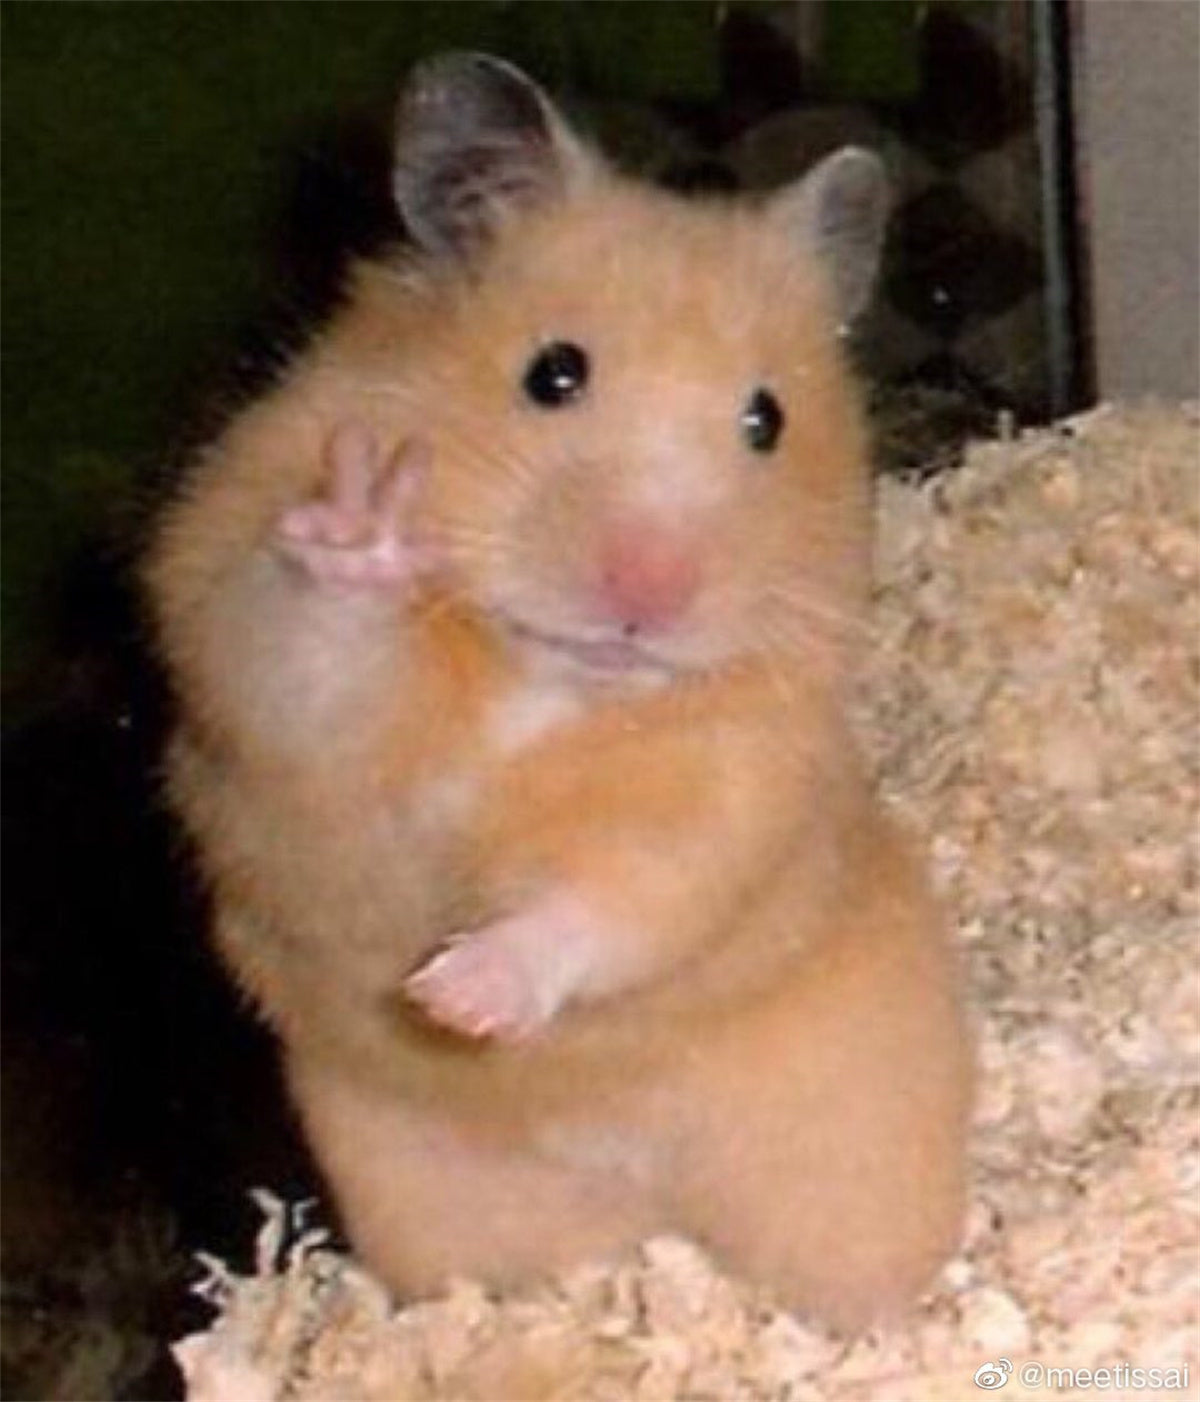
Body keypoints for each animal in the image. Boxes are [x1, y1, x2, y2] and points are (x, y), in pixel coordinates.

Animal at [145, 52, 971, 1331]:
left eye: (767, 420)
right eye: (554, 373)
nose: (649, 590)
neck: (550, 679)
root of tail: (642, 1204)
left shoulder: (733, 784)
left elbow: (616, 896)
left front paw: (458, 997)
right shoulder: (252, 659)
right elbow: (308, 648)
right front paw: (367, 523)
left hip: (859, 1145)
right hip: (431, 1198)